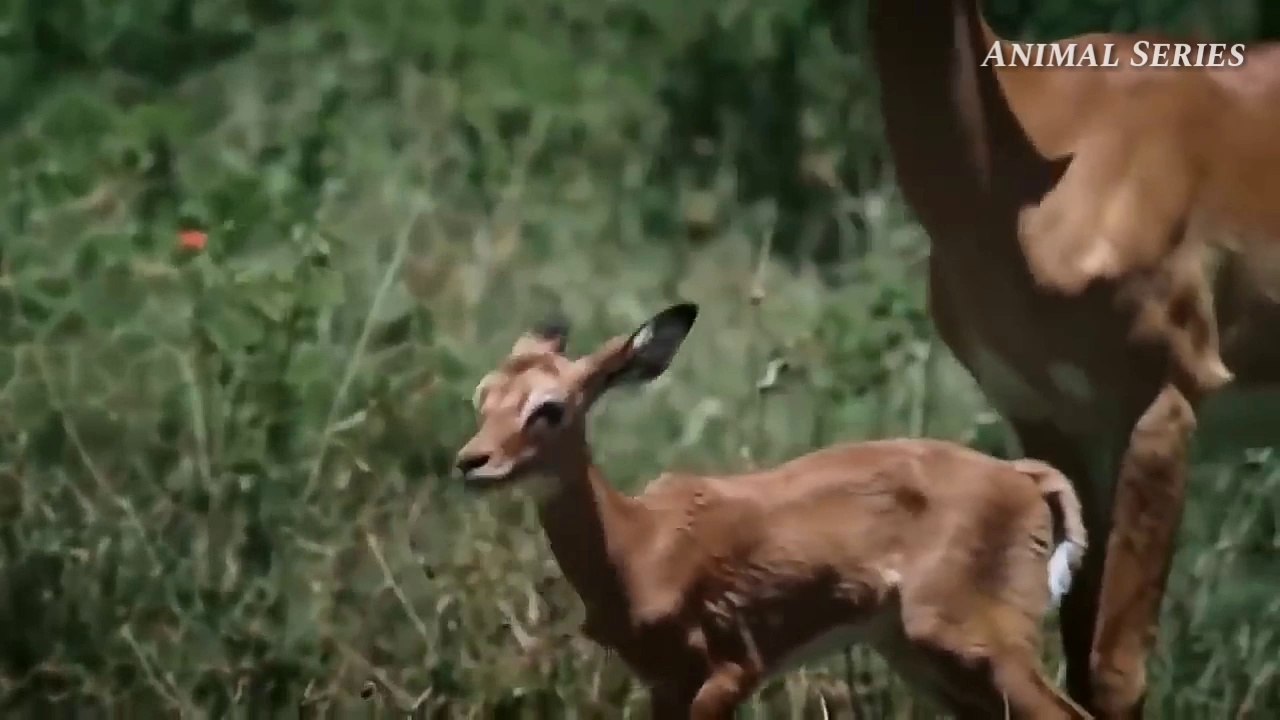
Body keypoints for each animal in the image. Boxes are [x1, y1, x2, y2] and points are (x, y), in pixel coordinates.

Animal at [455, 302, 1092, 718]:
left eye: (550, 407)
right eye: (483, 396)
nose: (470, 462)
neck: (637, 546)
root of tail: (1024, 476)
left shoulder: (732, 670)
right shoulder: (663, 685)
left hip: (979, 647)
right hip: (926, 660)